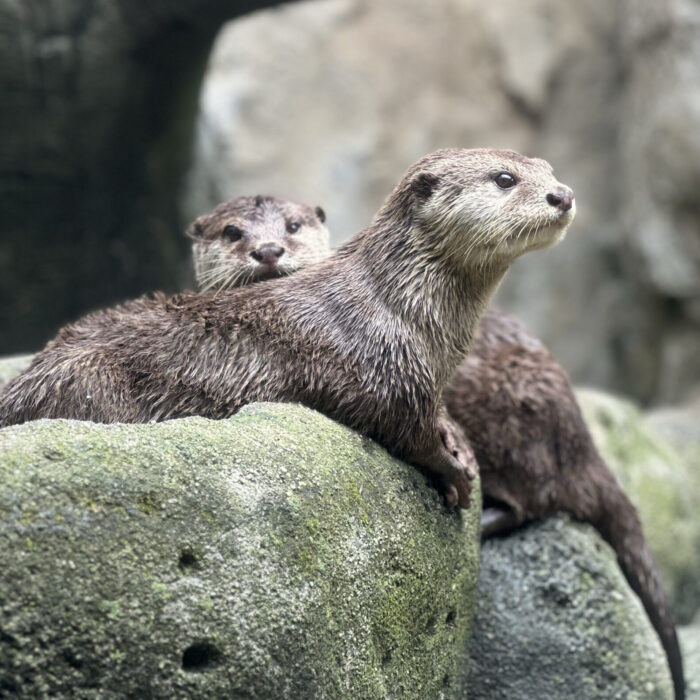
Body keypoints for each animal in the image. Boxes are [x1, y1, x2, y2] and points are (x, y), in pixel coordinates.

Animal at [0, 148, 574, 509]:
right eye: (504, 178)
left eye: (547, 169)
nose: (563, 194)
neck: (396, 302)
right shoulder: (384, 372)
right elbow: (404, 431)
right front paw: (454, 472)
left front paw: (455, 439)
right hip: (88, 377)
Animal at [190, 195, 684, 699]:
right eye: (232, 232)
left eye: (292, 226)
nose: (269, 250)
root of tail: (578, 436)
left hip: (507, 409)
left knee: (535, 496)